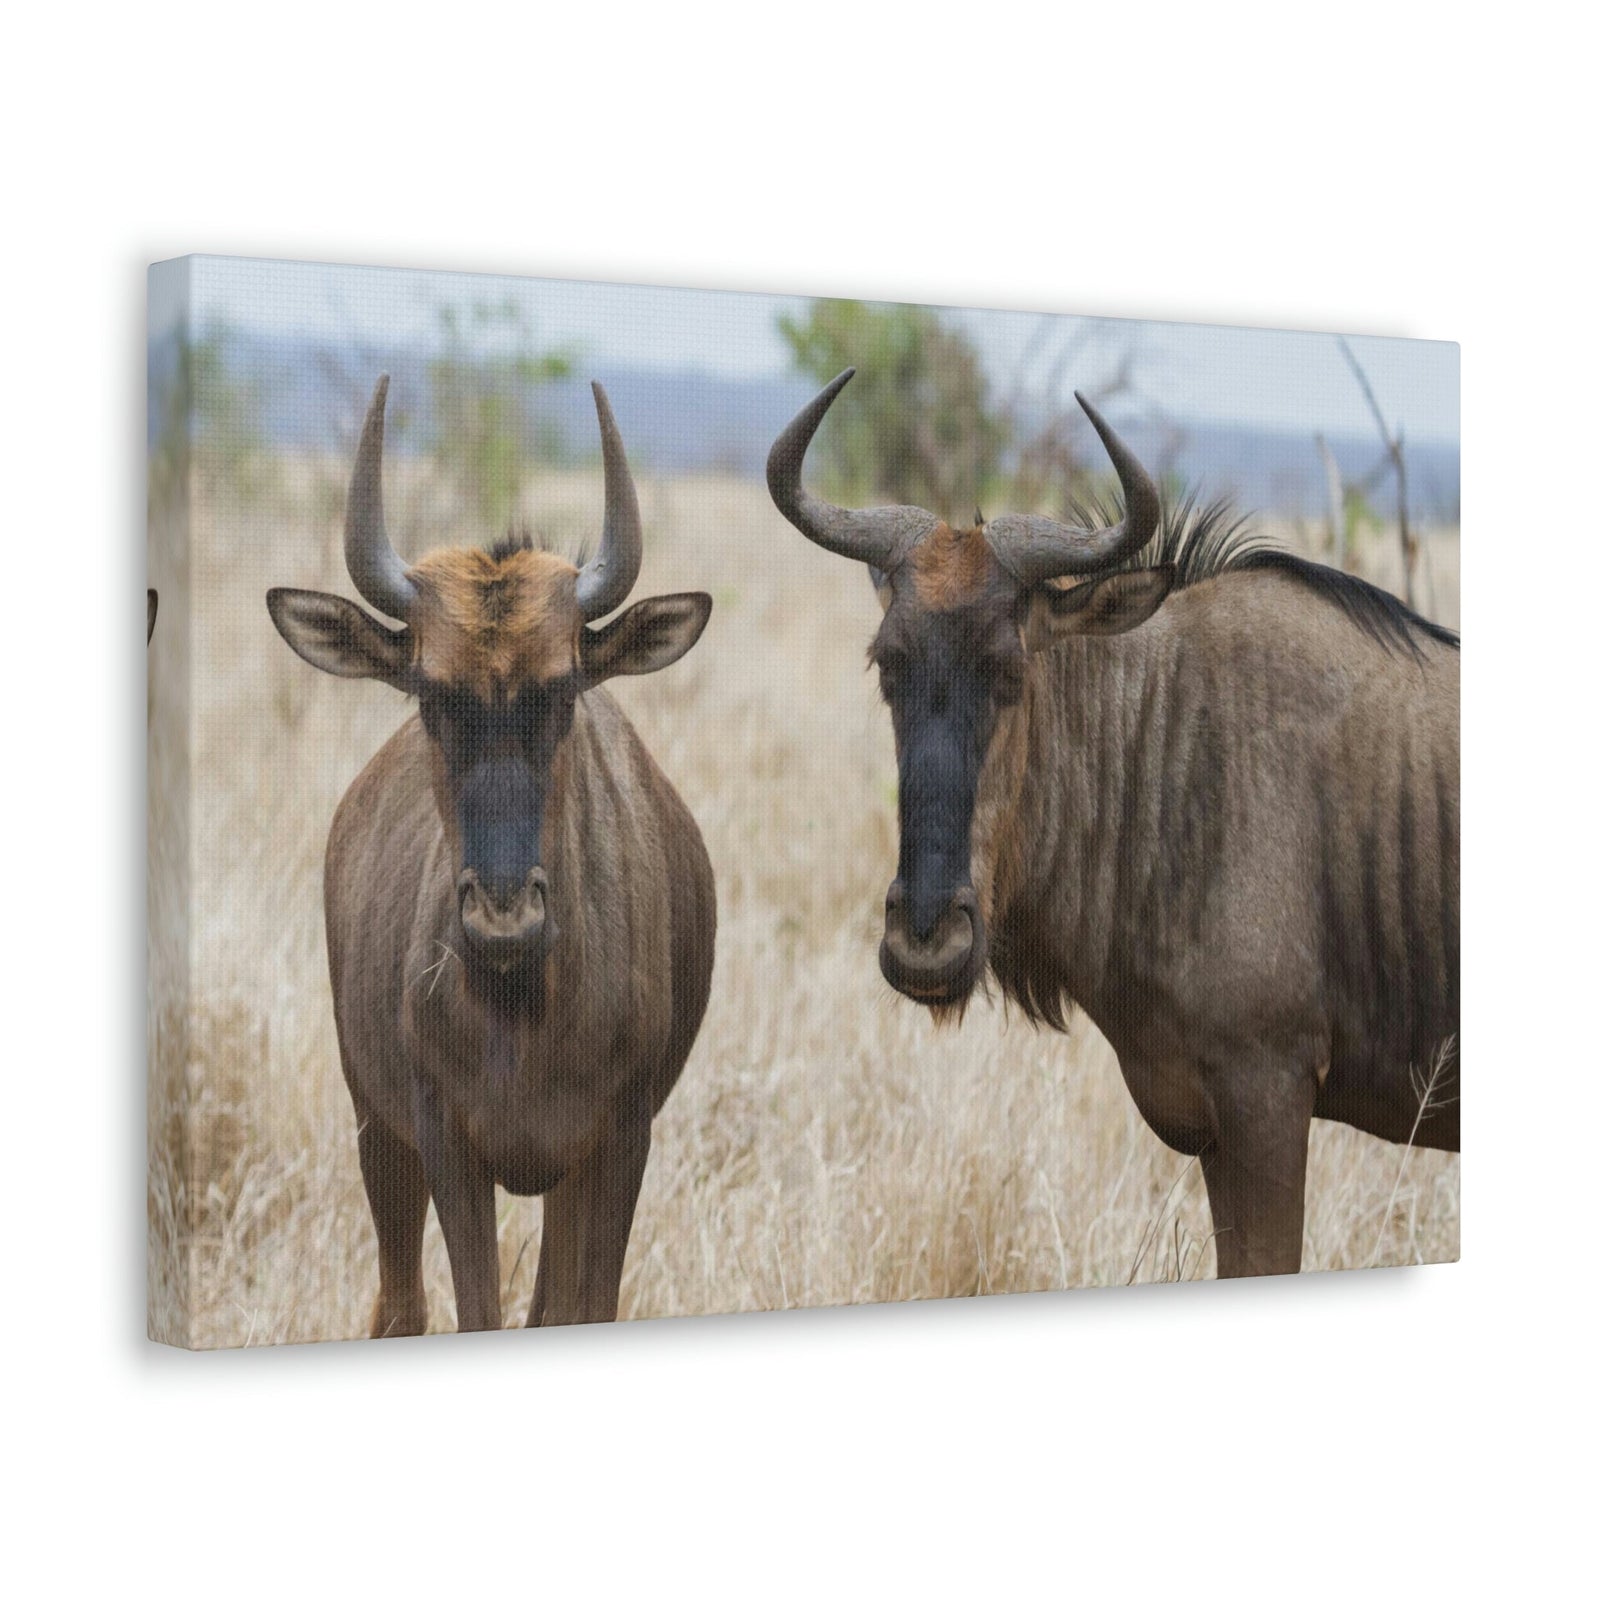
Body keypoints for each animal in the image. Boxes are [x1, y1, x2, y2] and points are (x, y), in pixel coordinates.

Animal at [269, 377, 715, 1332]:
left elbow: (583, 1307)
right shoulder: (446, 1145)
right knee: (400, 1304)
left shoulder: (618, 1145)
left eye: (563, 689)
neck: (523, 1006)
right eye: (432, 694)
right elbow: (474, 1309)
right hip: (376, 1132)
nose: (504, 918)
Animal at [768, 369, 1459, 1278]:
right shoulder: (1218, 1132)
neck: (1176, 753)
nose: (925, 944)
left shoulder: (1267, 1104)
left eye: (1009, 670)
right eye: (889, 665)